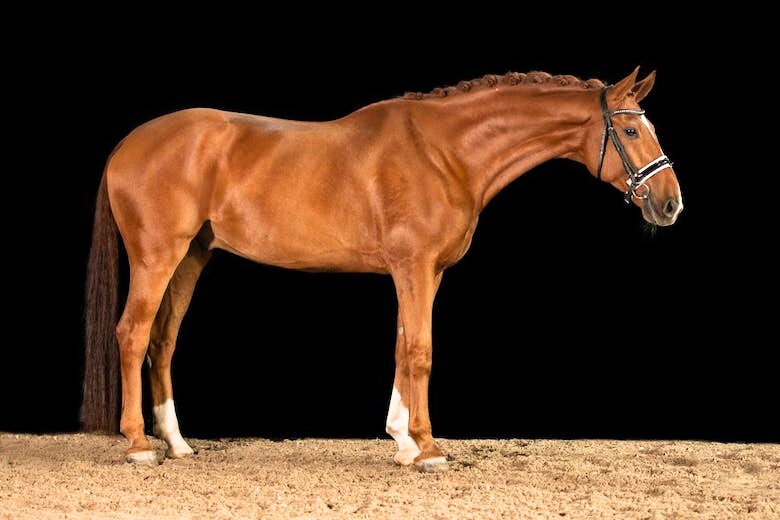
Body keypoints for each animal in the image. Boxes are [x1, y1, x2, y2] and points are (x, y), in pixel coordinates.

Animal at [82, 67, 682, 471]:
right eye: (632, 132)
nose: (671, 205)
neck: (444, 152)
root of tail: (128, 143)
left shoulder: (423, 272)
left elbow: (402, 346)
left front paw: (402, 440)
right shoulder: (413, 266)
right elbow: (421, 351)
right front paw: (428, 448)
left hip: (193, 255)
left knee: (163, 341)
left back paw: (177, 444)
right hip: (158, 256)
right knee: (133, 333)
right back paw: (139, 445)